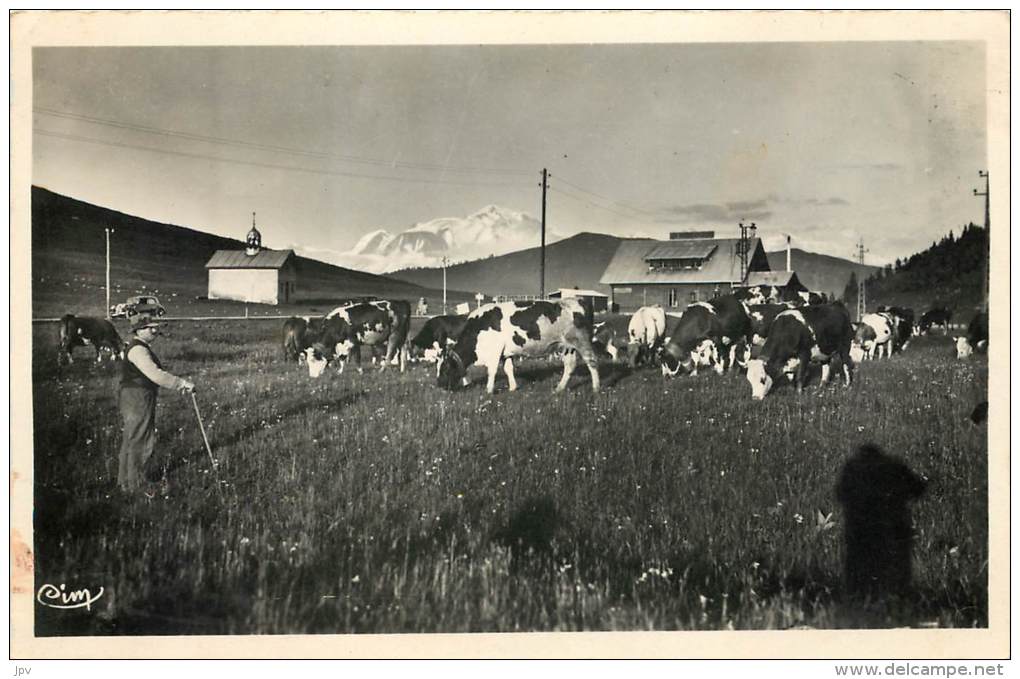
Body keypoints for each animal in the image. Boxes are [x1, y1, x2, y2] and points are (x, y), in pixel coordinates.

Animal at [436, 299, 595, 393]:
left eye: (444, 370)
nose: (439, 385)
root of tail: (578, 299)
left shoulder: (495, 351)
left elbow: (492, 371)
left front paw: (489, 390)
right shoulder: (506, 353)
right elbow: (508, 369)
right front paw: (513, 387)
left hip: (581, 341)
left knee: (591, 360)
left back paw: (596, 388)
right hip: (567, 346)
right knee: (570, 365)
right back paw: (559, 389)